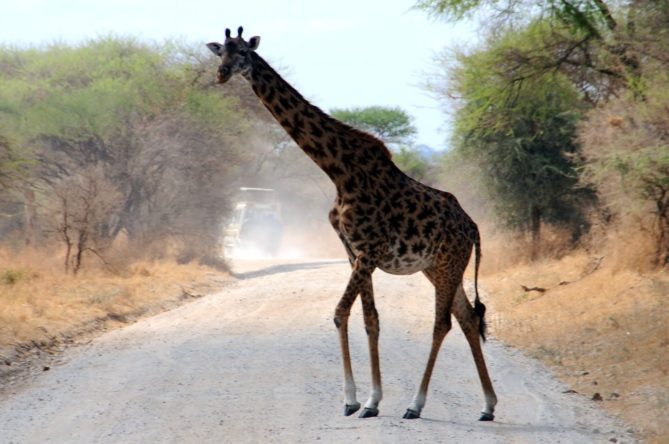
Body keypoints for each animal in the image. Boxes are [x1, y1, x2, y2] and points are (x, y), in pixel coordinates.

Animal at [207, 27, 498, 421]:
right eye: (220, 51)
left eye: (242, 53)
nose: (221, 75)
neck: (338, 170)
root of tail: (473, 228)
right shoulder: (354, 252)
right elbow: (369, 319)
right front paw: (372, 401)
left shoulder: (368, 251)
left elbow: (340, 312)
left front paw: (352, 399)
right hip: (435, 267)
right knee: (467, 317)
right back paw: (488, 406)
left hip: (451, 262)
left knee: (444, 322)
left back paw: (416, 404)